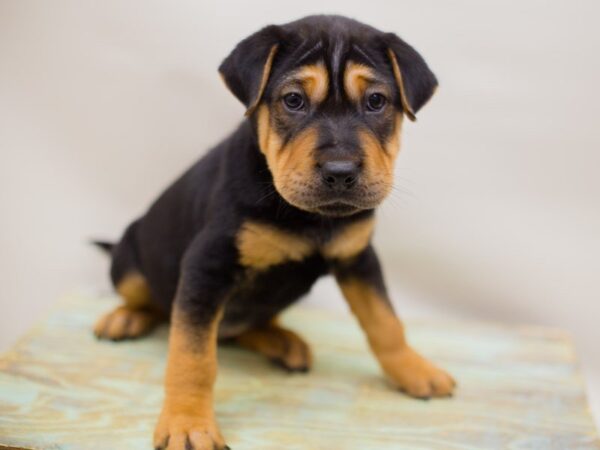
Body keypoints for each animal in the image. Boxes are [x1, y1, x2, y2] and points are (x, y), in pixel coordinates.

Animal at [94, 14, 454, 450]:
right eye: (294, 100)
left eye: (376, 102)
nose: (340, 172)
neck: (310, 217)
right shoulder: (207, 265)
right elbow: (192, 356)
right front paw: (188, 422)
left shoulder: (358, 258)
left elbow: (385, 321)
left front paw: (415, 370)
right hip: (130, 259)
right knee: (154, 302)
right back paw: (126, 318)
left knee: (242, 326)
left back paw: (282, 341)